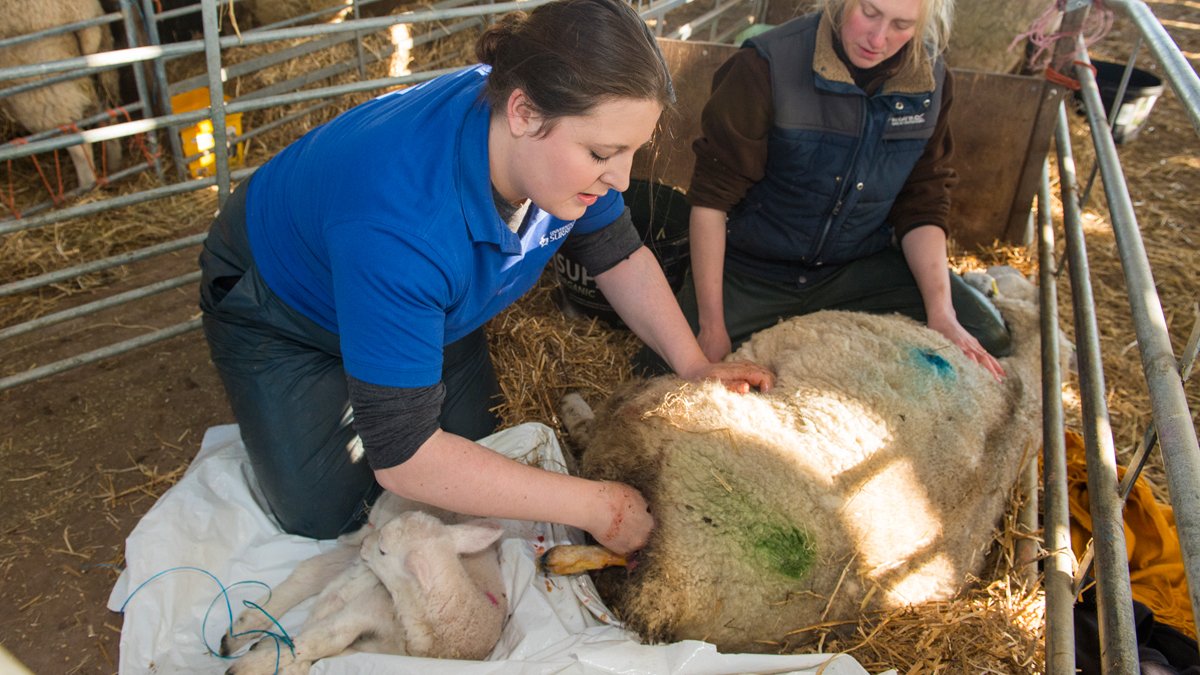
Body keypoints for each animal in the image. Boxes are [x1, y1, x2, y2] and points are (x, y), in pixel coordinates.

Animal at [0, 0, 121, 192]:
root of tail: (77, 12)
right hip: (101, 70)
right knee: (108, 119)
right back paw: (114, 167)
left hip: (42, 92)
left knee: (80, 145)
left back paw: (84, 190)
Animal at [224, 499, 506, 672]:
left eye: (383, 550)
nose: (366, 545)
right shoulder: (366, 607)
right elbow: (323, 639)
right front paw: (250, 667)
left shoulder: (381, 649)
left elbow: (330, 648)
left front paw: (280, 660)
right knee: (320, 577)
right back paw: (243, 631)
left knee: (317, 573)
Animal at [556, 267, 1046, 653]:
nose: (987, 274)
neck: (1016, 395)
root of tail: (672, 582)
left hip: (656, 411)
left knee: (595, 439)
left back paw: (572, 411)